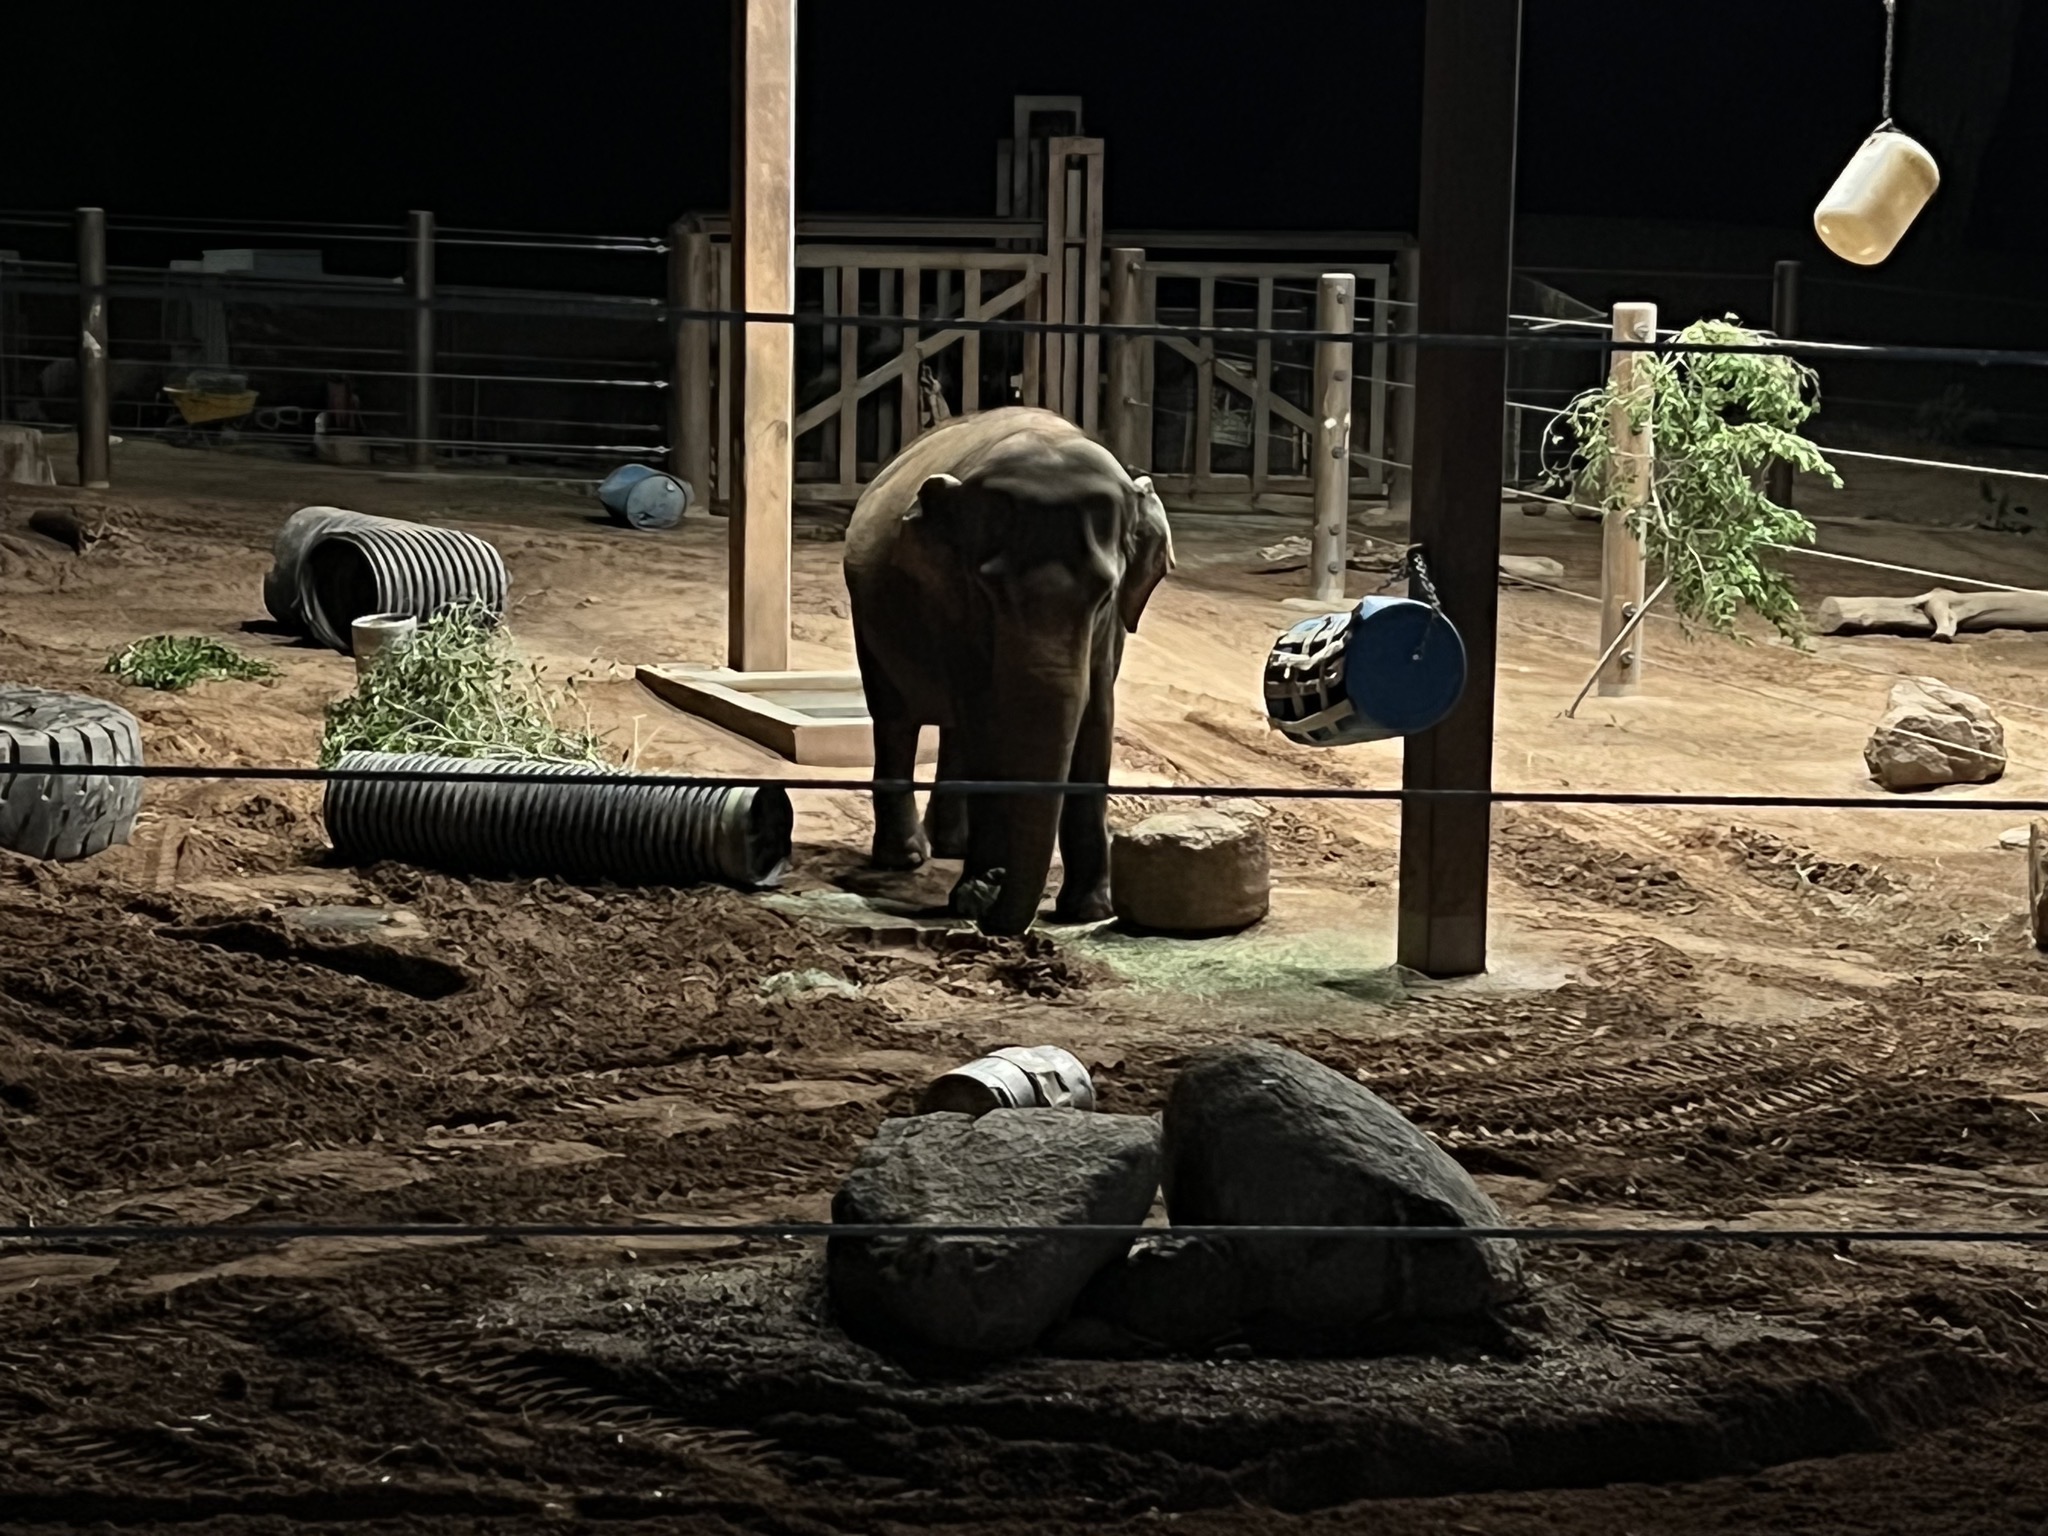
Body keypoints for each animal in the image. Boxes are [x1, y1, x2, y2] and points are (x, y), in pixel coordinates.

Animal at [843, 406, 1175, 936]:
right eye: (987, 593)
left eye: (1105, 595)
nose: (993, 884)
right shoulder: (950, 603)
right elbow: (984, 714)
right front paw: (972, 895)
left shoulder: (1110, 633)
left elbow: (1097, 717)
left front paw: (1089, 911)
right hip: (868, 622)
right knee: (896, 719)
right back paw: (908, 858)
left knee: (952, 728)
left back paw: (951, 847)